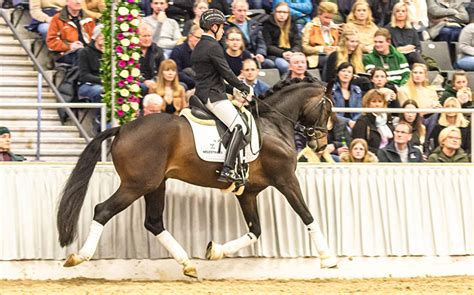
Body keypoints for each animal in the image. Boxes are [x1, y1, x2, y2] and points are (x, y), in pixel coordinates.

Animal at [56, 77, 336, 280]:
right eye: (328, 108)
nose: (321, 144)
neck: (274, 125)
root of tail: (123, 128)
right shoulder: (286, 180)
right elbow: (307, 215)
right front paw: (328, 259)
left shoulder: (248, 192)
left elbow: (255, 231)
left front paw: (215, 251)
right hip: (136, 185)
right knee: (102, 210)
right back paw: (79, 257)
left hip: (155, 185)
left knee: (154, 222)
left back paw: (188, 264)